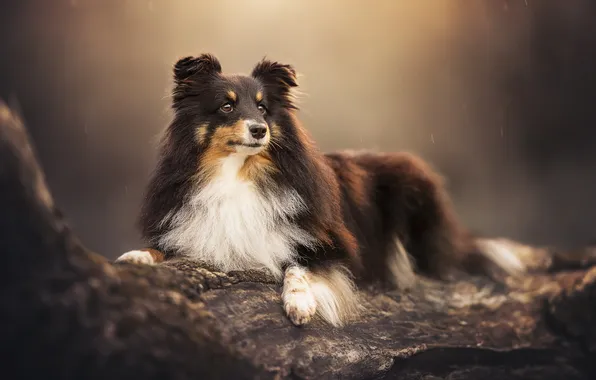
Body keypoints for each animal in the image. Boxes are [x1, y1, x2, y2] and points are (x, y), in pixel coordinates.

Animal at [114, 53, 524, 326]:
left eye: (263, 109)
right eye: (226, 107)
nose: (260, 130)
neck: (238, 174)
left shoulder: (332, 242)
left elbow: (299, 265)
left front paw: (300, 304)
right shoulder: (186, 228)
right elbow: (159, 248)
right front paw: (135, 256)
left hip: (411, 182)